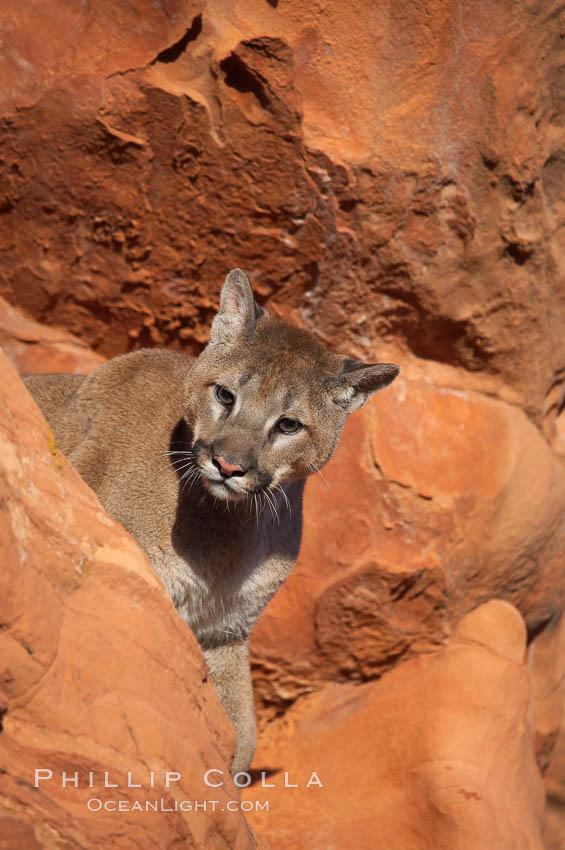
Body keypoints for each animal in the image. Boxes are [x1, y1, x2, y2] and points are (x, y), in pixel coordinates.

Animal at [24, 268, 398, 772]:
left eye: (289, 425)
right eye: (225, 395)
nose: (228, 465)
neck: (225, 534)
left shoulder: (225, 629)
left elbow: (242, 724)